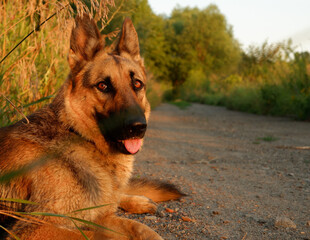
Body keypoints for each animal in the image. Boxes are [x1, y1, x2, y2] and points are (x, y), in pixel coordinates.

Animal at [0, 15, 184, 240]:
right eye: (103, 86)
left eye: (137, 84)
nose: (138, 127)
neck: (79, 134)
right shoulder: (34, 228)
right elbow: (101, 235)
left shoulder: (98, 217)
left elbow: (140, 228)